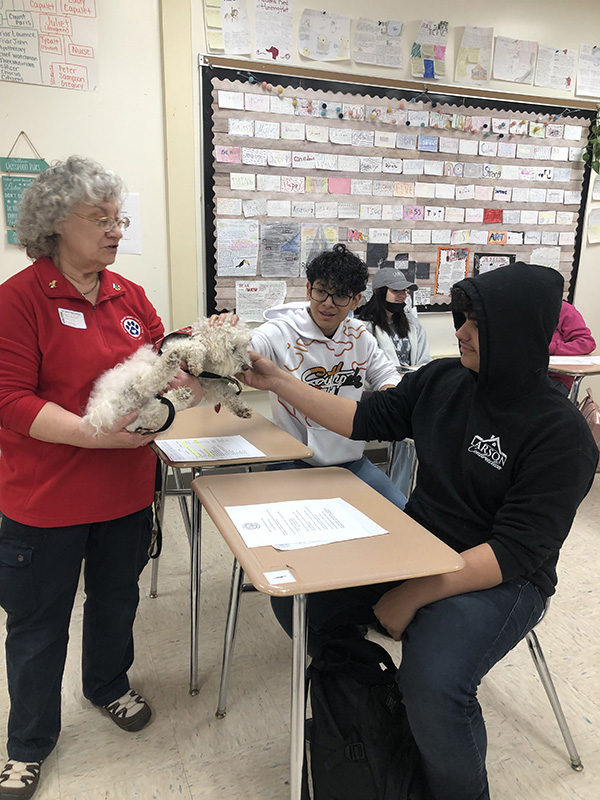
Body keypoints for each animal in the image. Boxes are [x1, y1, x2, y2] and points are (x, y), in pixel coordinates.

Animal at [83, 316, 252, 434]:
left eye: (245, 347)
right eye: (233, 348)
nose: (246, 367)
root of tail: (100, 410)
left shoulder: (208, 384)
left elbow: (226, 393)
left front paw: (241, 408)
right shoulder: (176, 346)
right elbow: (197, 347)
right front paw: (195, 361)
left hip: (145, 414)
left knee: (157, 411)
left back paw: (181, 395)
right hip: (137, 372)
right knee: (146, 383)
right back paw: (169, 363)